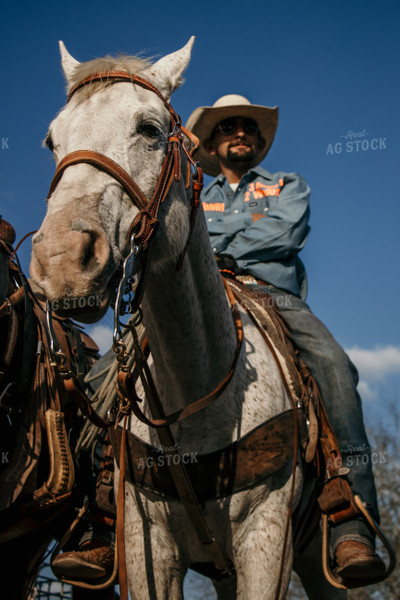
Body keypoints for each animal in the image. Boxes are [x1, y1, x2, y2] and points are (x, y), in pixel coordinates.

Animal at [28, 38, 346, 600]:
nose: (62, 261)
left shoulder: (268, 541)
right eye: (51, 139)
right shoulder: (145, 544)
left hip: (317, 562)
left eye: (150, 129)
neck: (197, 387)